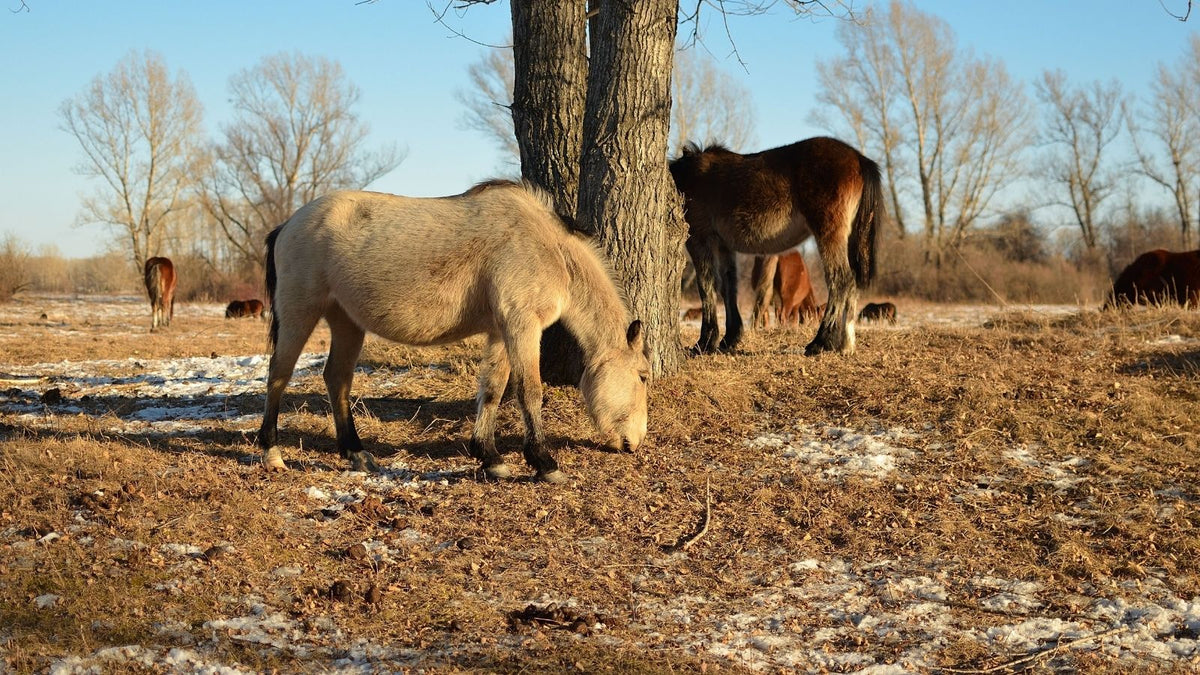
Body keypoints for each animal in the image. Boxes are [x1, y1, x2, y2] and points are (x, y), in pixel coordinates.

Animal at [259, 180, 650, 483]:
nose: (635, 442)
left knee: (337, 379)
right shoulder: (521, 326)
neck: (547, 248)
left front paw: (489, 458)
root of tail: (288, 224)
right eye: (643, 376)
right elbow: (529, 391)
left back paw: (356, 453)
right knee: (279, 375)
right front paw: (544, 463)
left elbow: (492, 390)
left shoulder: (501, 331)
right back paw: (271, 453)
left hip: (346, 321)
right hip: (299, 314)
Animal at [669, 137, 883, 355]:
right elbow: (728, 286)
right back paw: (846, 345)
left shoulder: (699, 239)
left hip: (829, 235)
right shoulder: (724, 246)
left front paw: (705, 342)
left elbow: (707, 285)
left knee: (841, 280)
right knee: (852, 284)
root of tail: (858, 158)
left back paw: (821, 342)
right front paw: (729, 339)